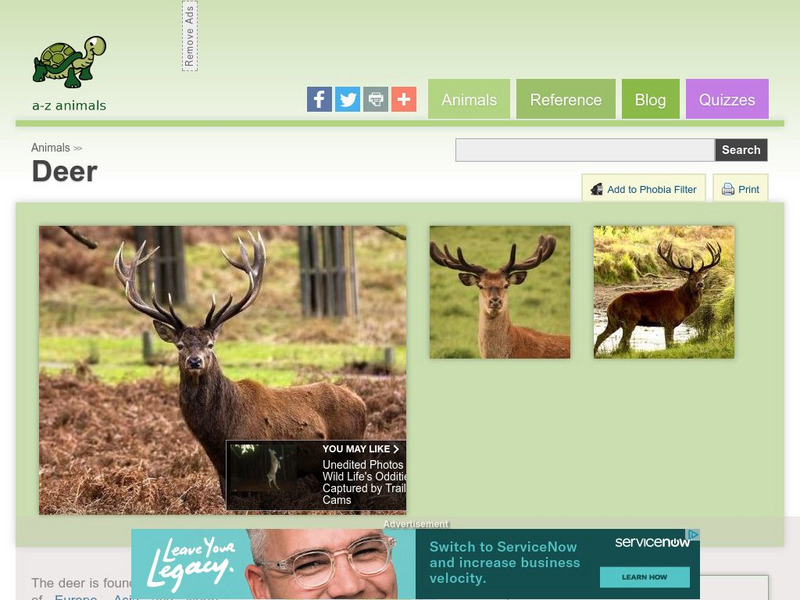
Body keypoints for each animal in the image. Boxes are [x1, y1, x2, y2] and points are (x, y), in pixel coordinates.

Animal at [114, 232, 367, 497]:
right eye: (180, 345)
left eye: (210, 344)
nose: (195, 361)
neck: (220, 434)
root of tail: (361, 403)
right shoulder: (223, 474)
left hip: (348, 457)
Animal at [593, 240, 722, 355]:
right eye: (691, 278)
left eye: (702, 277)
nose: (700, 284)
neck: (682, 304)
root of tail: (610, 306)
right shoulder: (668, 321)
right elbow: (669, 344)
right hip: (630, 320)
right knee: (622, 342)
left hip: (614, 321)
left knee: (601, 337)